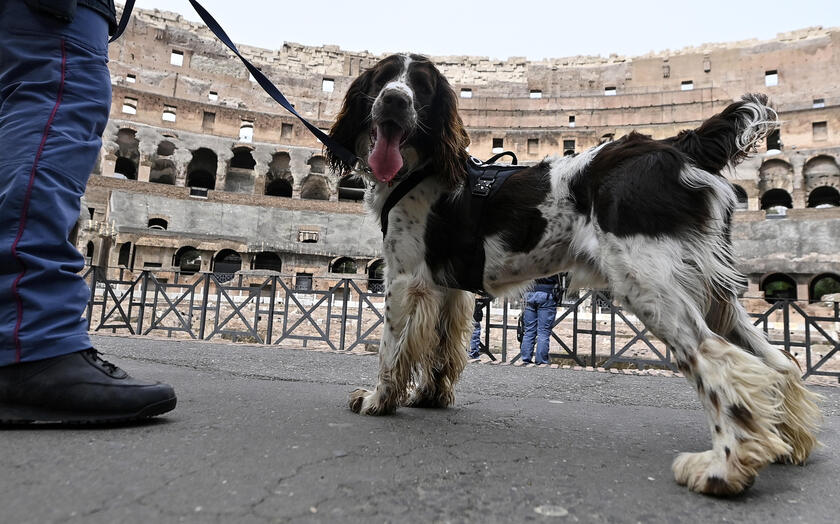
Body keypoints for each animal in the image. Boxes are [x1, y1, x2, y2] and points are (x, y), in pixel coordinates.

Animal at [326, 55, 820, 498]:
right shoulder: (448, 289)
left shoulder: (405, 278)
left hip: (648, 285)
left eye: (422, 86)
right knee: (777, 363)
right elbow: (442, 348)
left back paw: (723, 469)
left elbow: (391, 350)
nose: (394, 100)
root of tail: (680, 145)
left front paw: (377, 401)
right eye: (383, 78)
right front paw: (430, 397)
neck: (422, 167)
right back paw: (784, 445)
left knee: (719, 360)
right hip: (714, 293)